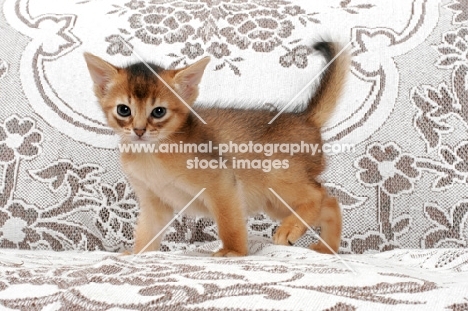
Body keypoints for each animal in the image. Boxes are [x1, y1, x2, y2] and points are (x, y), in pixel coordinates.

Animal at [84, 40, 350, 256]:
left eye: (158, 111)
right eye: (123, 110)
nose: (139, 130)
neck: (151, 155)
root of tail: (305, 119)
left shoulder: (223, 183)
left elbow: (229, 222)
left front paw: (234, 252)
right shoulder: (154, 203)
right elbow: (147, 232)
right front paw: (137, 253)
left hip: (279, 179)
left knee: (319, 195)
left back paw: (292, 230)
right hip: (274, 203)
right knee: (331, 204)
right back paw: (326, 248)